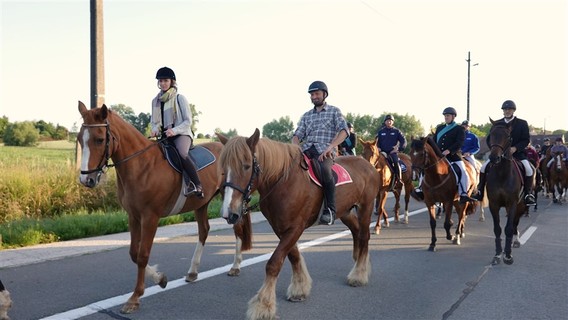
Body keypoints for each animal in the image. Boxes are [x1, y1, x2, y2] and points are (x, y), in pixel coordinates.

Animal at [76, 102, 252, 312]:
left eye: (100, 139)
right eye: (79, 138)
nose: (86, 179)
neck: (142, 166)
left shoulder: (150, 217)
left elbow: (142, 255)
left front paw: (135, 297)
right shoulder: (133, 216)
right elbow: (134, 253)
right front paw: (160, 279)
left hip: (231, 199)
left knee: (238, 228)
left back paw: (235, 267)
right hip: (201, 204)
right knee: (204, 231)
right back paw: (193, 272)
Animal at [219, 129, 382, 318]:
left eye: (246, 166)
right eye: (223, 169)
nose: (229, 213)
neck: (283, 181)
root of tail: (368, 165)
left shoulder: (296, 227)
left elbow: (274, 263)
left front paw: (263, 305)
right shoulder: (280, 227)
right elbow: (293, 256)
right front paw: (299, 289)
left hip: (366, 206)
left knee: (364, 236)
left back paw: (359, 274)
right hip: (346, 211)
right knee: (356, 231)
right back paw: (358, 262)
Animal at [482, 120, 536, 264]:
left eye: (507, 136)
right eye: (491, 134)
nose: (494, 157)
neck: (502, 173)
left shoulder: (512, 204)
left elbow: (509, 228)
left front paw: (507, 255)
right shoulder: (494, 204)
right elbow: (497, 229)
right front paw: (497, 254)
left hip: (520, 205)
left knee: (515, 223)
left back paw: (515, 241)